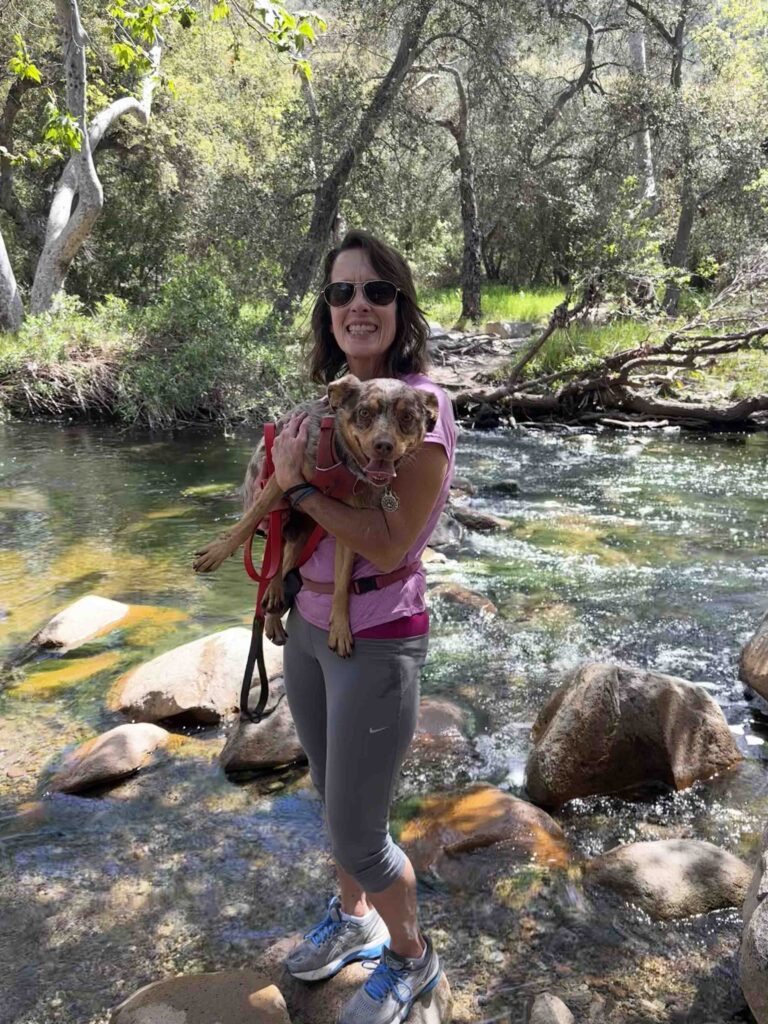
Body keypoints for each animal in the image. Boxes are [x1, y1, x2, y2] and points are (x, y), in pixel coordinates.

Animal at [193, 376, 438, 655]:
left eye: (407, 417)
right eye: (365, 412)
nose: (383, 446)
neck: (341, 460)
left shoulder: (350, 532)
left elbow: (341, 583)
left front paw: (340, 628)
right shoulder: (281, 477)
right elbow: (249, 521)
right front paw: (218, 551)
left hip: (303, 533)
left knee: (282, 562)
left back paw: (275, 604)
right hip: (280, 512)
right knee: (273, 552)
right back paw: (272, 596)